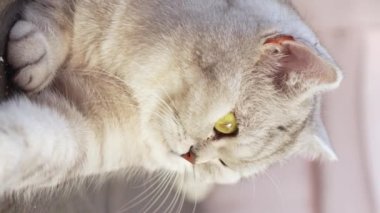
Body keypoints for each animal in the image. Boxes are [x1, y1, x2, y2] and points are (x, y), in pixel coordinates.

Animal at [0, 0, 342, 201]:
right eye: (227, 124)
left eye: (223, 166)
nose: (191, 158)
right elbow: (56, 9)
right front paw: (37, 48)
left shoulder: (83, 126)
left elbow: (35, 142)